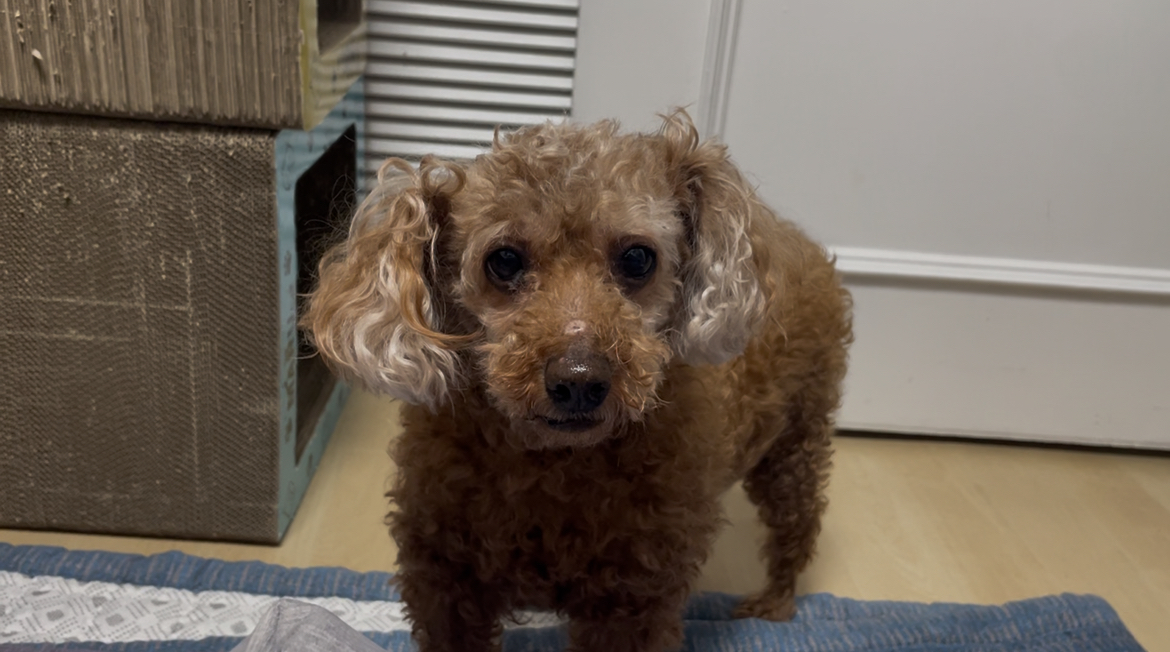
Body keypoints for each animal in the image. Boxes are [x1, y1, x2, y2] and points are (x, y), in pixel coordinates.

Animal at [303, 109, 853, 652]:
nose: (580, 381)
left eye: (637, 258)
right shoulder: (445, 583)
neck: (553, 462)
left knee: (797, 530)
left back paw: (774, 604)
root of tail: (800, 240)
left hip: (795, 443)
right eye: (503, 260)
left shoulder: (633, 599)